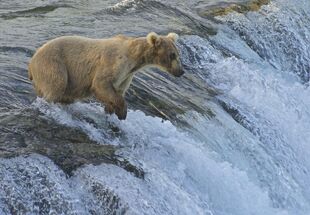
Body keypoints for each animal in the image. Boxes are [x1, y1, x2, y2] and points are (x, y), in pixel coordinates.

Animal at [27, 32, 183, 119]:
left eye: (177, 54)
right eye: (172, 55)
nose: (181, 71)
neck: (135, 59)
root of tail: (32, 60)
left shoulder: (126, 75)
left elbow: (116, 91)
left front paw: (111, 109)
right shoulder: (114, 63)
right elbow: (101, 84)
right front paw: (122, 112)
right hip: (54, 64)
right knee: (57, 84)